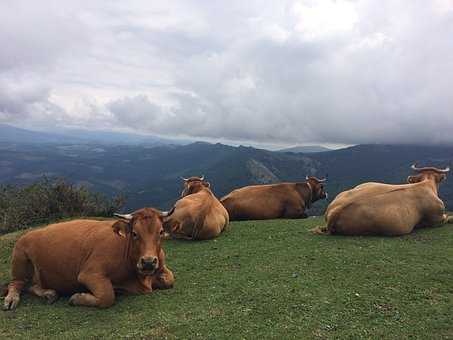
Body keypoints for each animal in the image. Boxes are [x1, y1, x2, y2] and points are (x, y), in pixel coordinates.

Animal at [2, 207, 175, 310]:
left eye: (160, 232)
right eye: (134, 233)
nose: (148, 262)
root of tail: (28, 234)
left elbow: (170, 280)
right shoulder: (90, 273)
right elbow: (107, 296)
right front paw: (77, 298)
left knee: (30, 285)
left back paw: (49, 294)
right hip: (19, 255)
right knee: (16, 283)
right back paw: (11, 299)